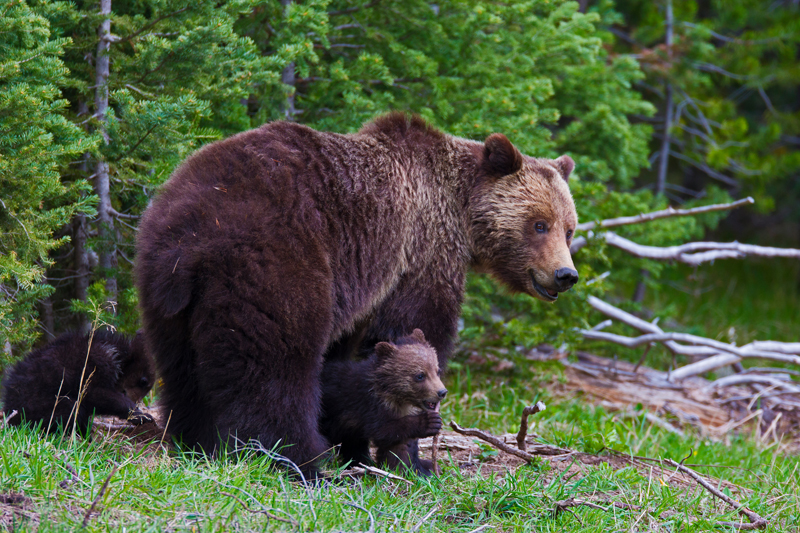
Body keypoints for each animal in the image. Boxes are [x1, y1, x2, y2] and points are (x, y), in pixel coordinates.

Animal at [136, 113, 576, 478]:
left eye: (568, 227)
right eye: (538, 224)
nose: (566, 274)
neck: (460, 215)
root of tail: (189, 238)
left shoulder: (366, 285)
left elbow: (351, 363)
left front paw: (359, 448)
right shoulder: (418, 255)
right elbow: (414, 330)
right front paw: (412, 458)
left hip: (166, 293)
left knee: (183, 369)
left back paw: (196, 442)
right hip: (276, 263)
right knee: (278, 362)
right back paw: (301, 459)